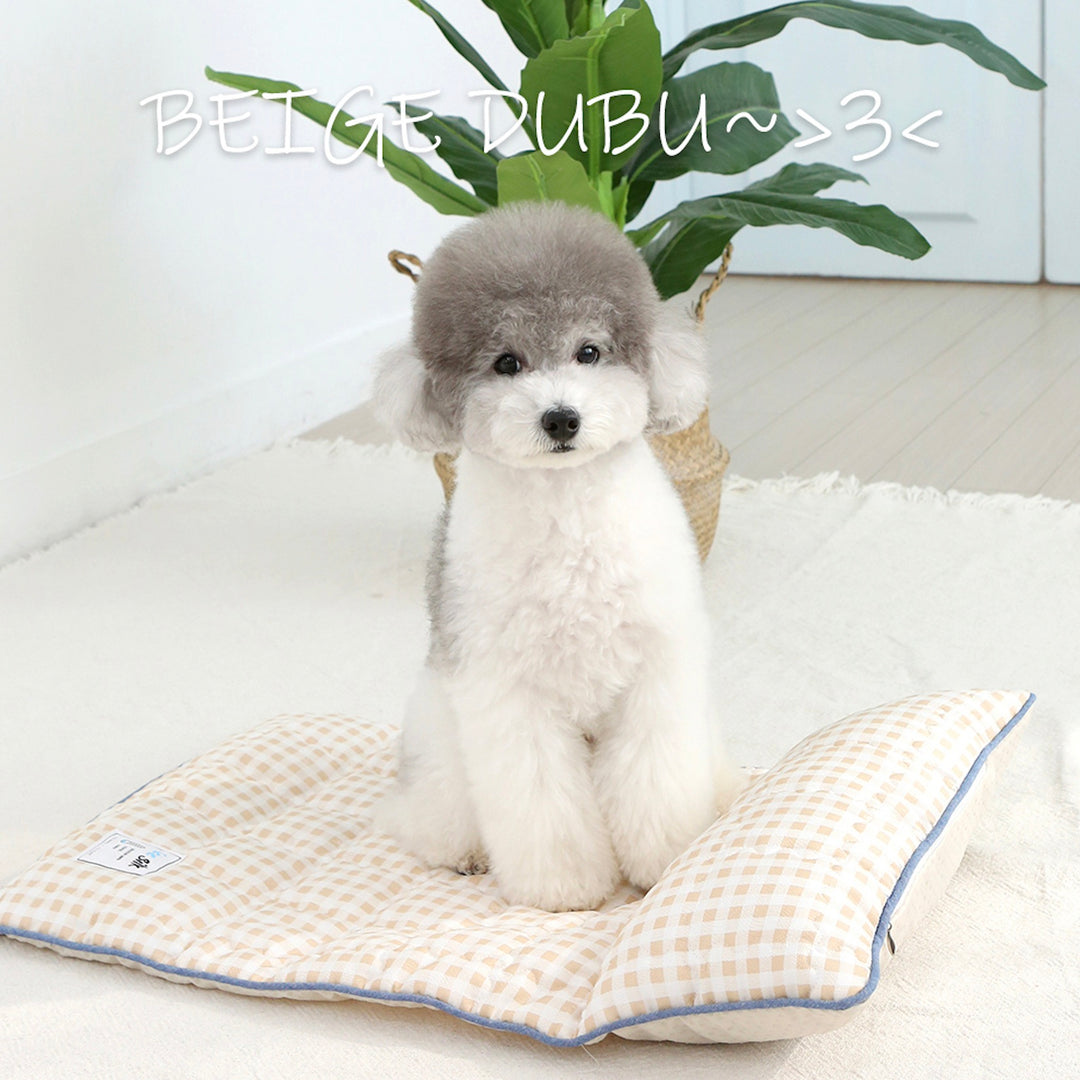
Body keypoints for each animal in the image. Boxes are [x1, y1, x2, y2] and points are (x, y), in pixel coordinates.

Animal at [372, 202, 743, 912]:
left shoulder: (655, 674)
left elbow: (655, 781)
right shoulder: (509, 696)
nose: (561, 418)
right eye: (506, 363)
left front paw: (665, 865)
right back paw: (463, 854)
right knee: (428, 818)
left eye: (589, 351)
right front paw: (568, 890)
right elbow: (542, 803)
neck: (567, 516)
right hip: (439, 742)